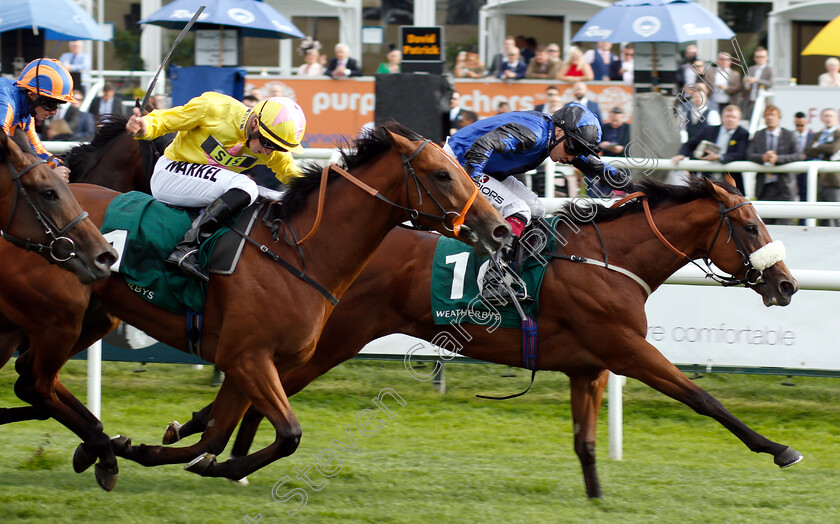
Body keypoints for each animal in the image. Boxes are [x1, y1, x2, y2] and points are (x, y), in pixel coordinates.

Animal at [0, 123, 508, 492]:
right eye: (442, 174)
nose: (499, 228)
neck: (301, 254)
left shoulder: (246, 362)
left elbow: (217, 434)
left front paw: (183, 456)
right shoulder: (247, 358)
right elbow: (287, 434)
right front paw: (178, 457)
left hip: (85, 319)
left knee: (32, 382)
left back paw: (97, 445)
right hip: (59, 320)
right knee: (36, 384)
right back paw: (101, 448)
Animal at [162, 174, 800, 498]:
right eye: (749, 227)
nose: (788, 285)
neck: (608, 259)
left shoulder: (588, 365)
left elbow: (586, 442)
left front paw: (596, 498)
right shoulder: (627, 348)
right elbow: (703, 398)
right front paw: (780, 450)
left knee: (259, 388)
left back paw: (213, 446)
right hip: (333, 340)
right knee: (264, 387)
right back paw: (224, 455)